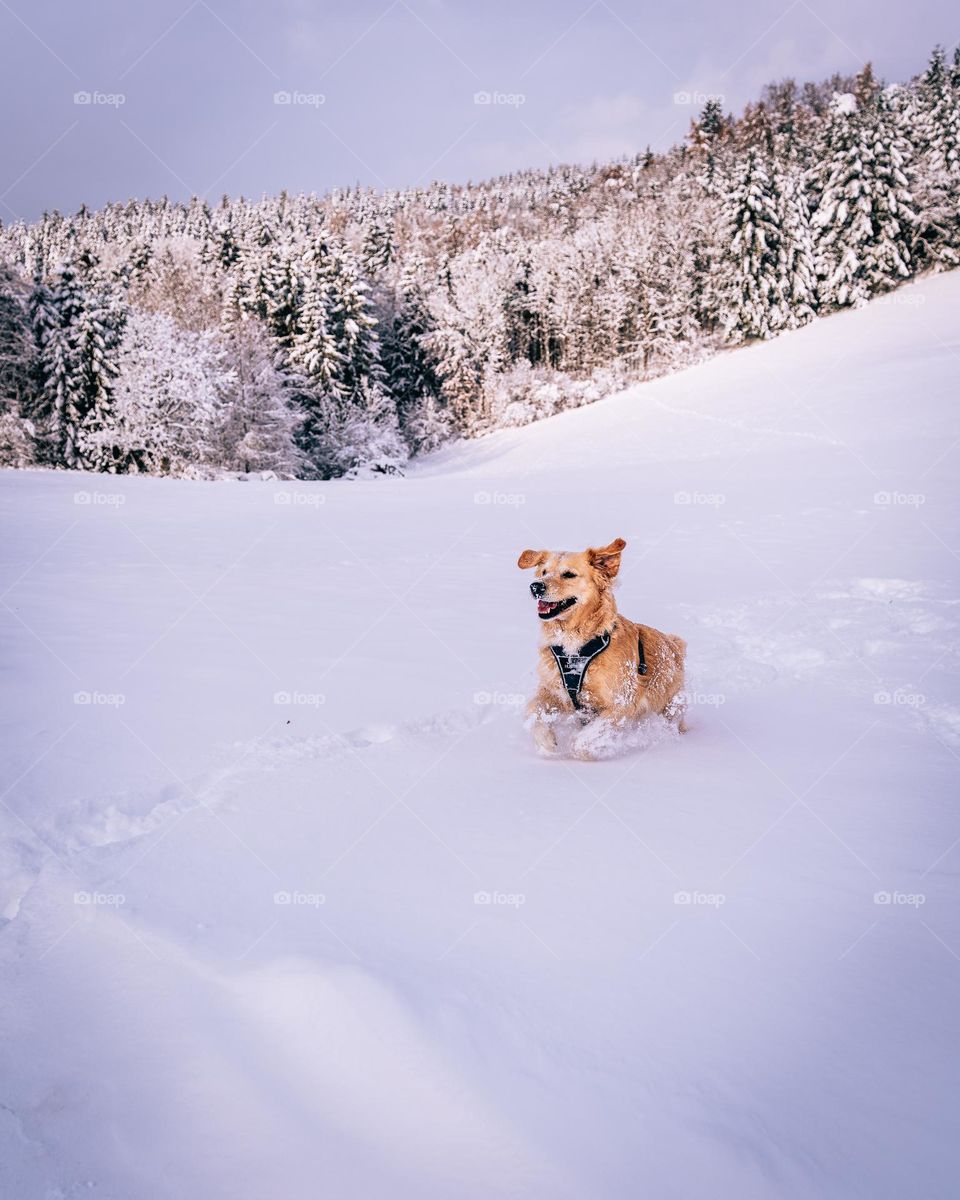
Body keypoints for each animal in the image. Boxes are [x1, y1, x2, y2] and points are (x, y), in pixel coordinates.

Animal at [520, 540, 686, 753]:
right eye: (544, 572)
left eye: (569, 574)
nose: (536, 587)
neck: (575, 646)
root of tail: (674, 645)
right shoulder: (553, 691)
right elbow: (533, 710)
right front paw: (547, 741)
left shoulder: (621, 704)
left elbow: (583, 740)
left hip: (671, 708)